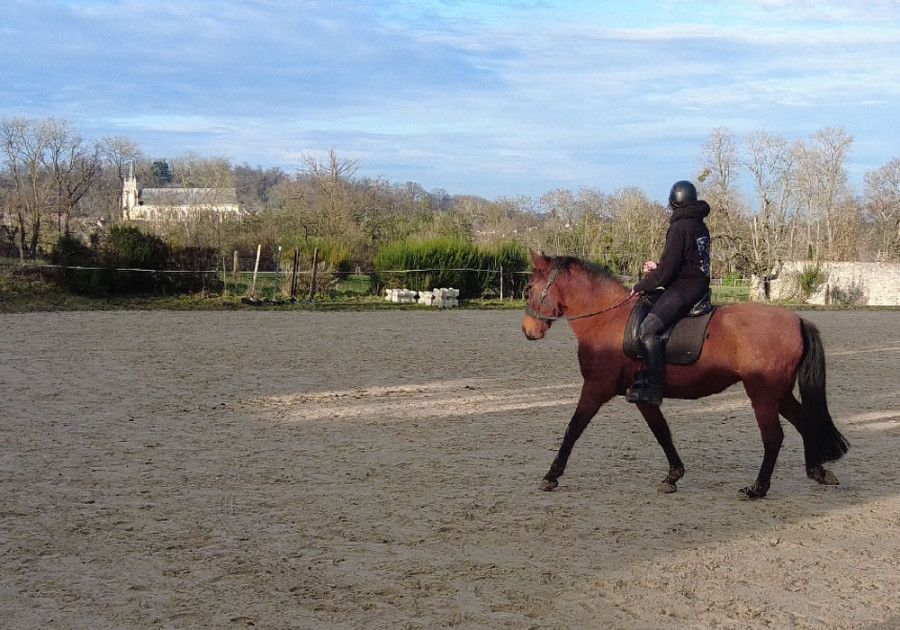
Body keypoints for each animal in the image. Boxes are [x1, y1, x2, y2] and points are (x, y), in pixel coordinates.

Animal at [521, 251, 849, 499]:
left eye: (530, 287)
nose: (528, 330)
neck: (608, 319)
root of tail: (796, 319)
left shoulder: (595, 387)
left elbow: (573, 428)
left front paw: (551, 475)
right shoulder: (641, 395)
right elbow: (662, 432)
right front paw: (673, 476)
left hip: (763, 394)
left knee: (773, 437)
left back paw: (757, 488)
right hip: (778, 393)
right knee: (804, 422)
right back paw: (817, 471)